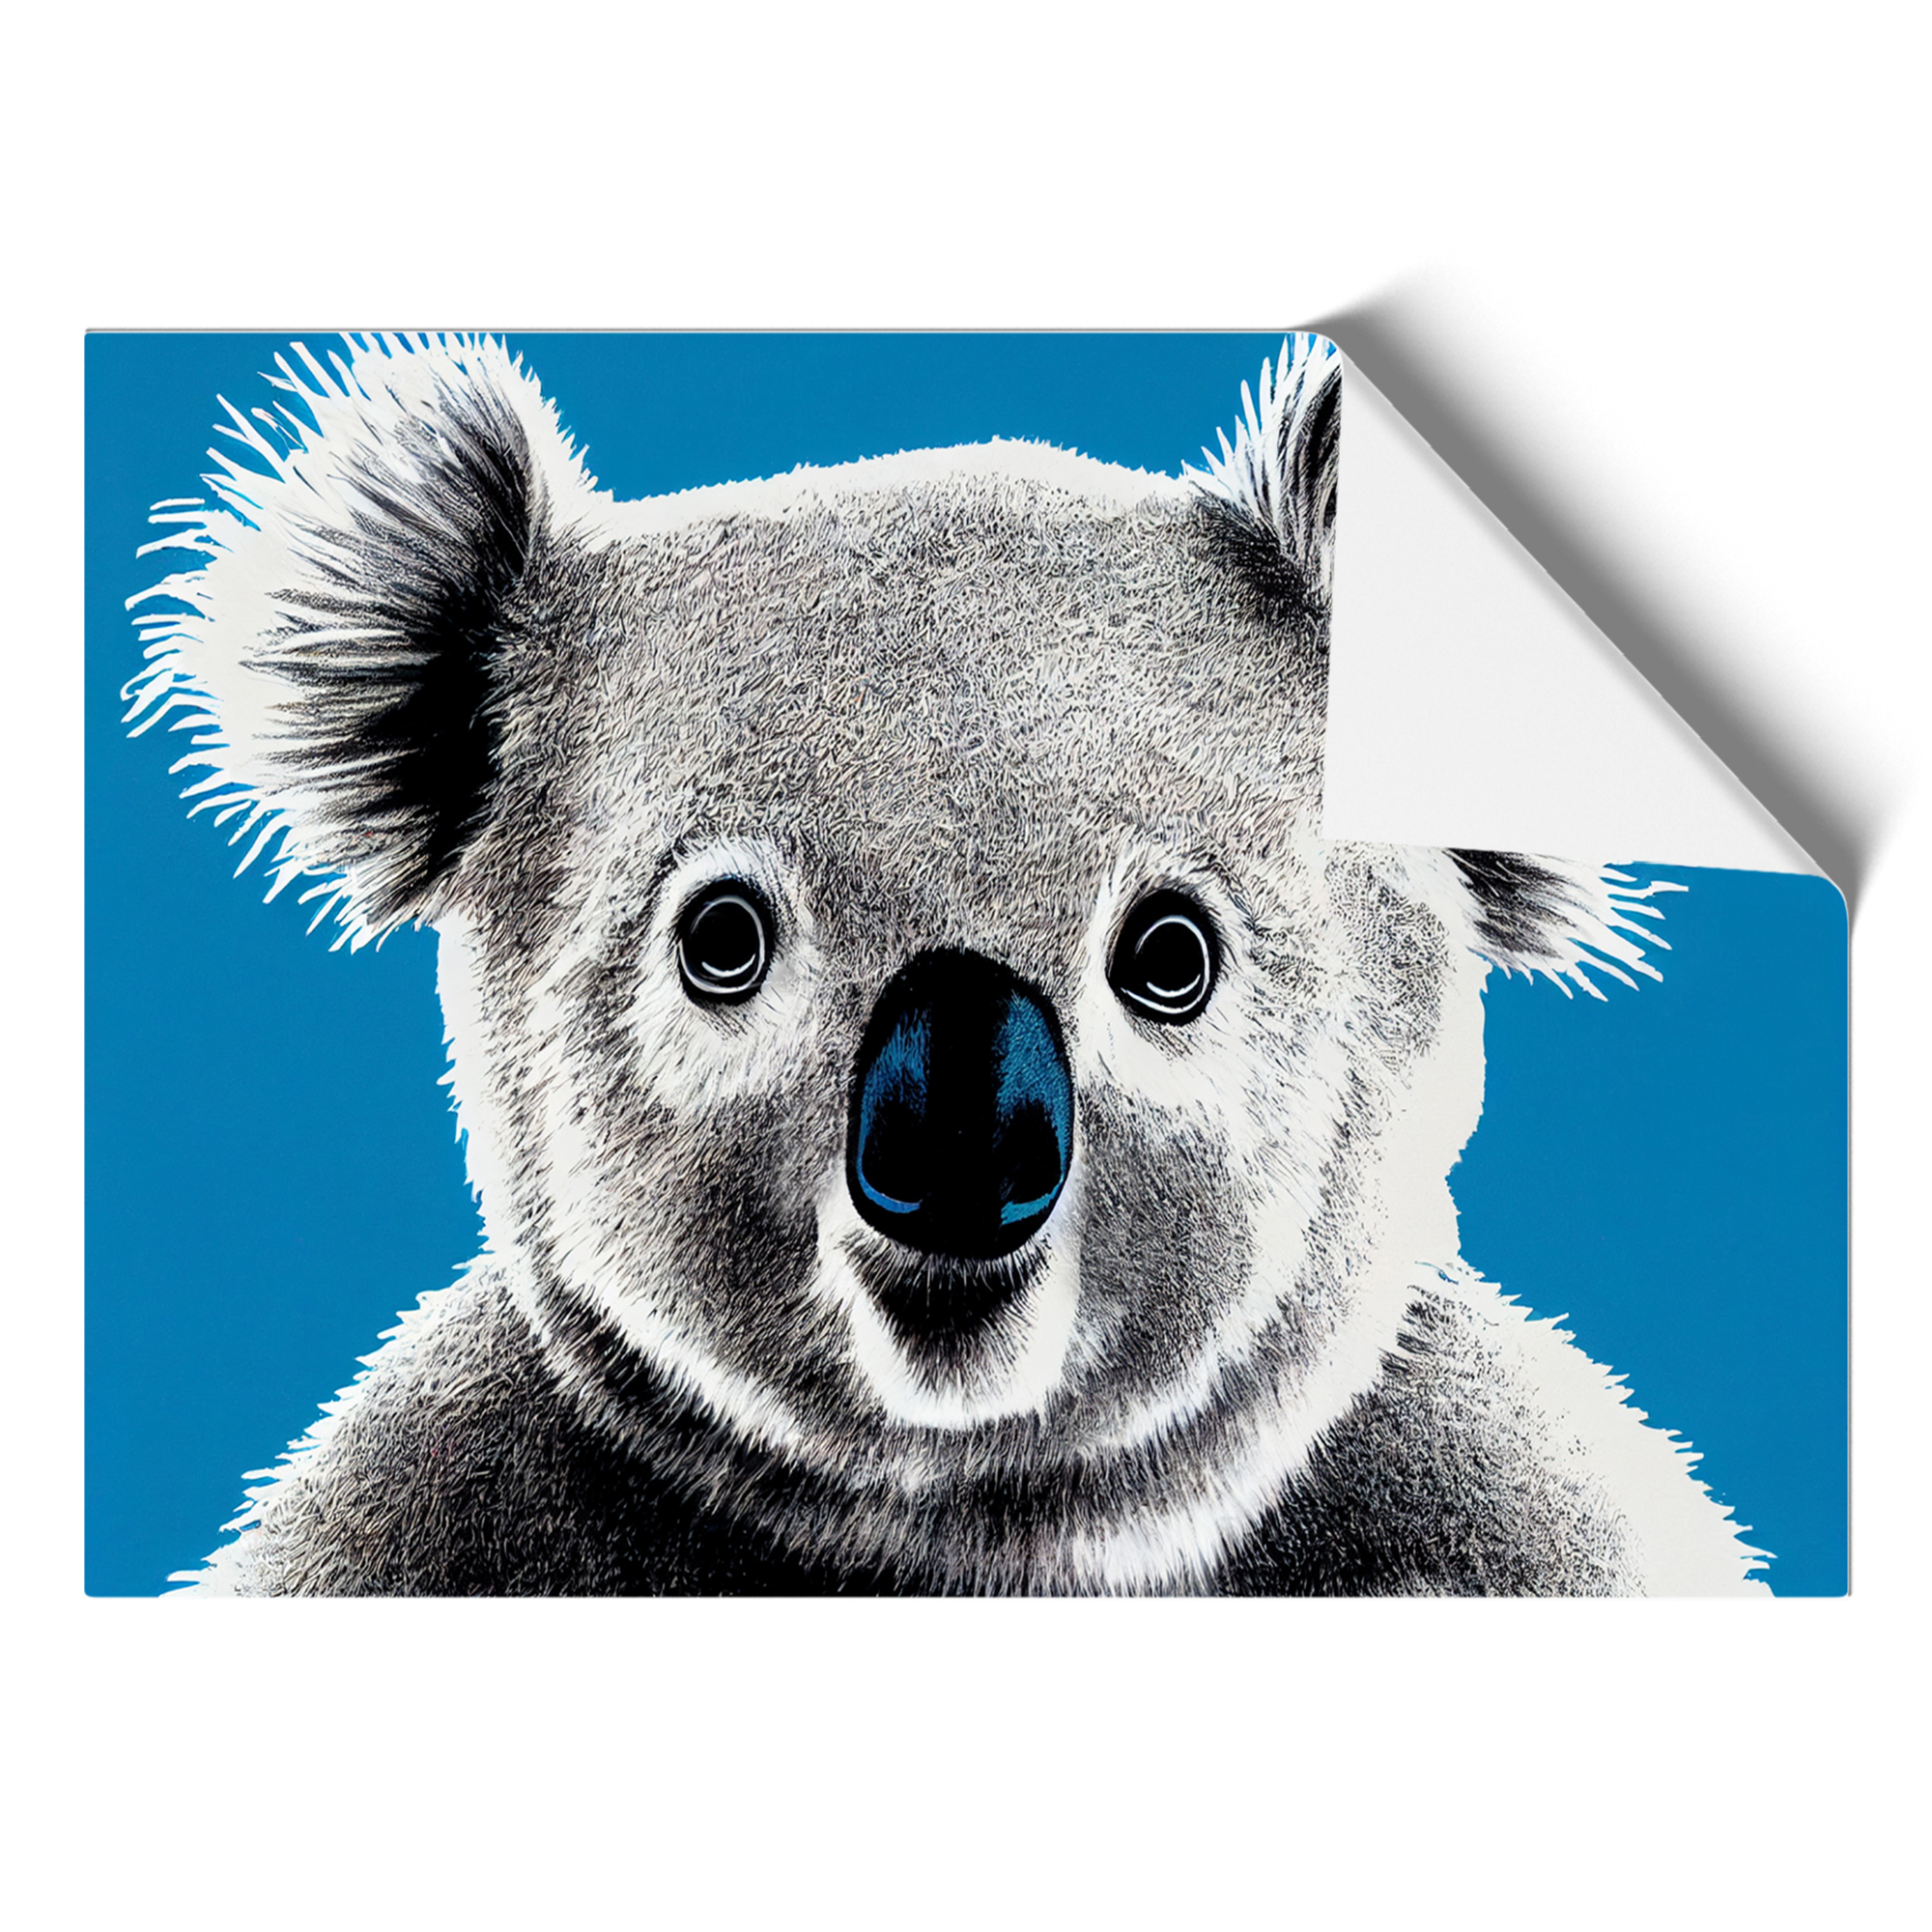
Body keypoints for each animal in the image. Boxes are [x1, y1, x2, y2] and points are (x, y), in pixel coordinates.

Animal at [125, 331, 1766, 1595]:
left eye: (1172, 953)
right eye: (721, 938)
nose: (964, 1149)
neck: (974, 1534)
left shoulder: (1538, 1524)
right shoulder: (397, 1527)